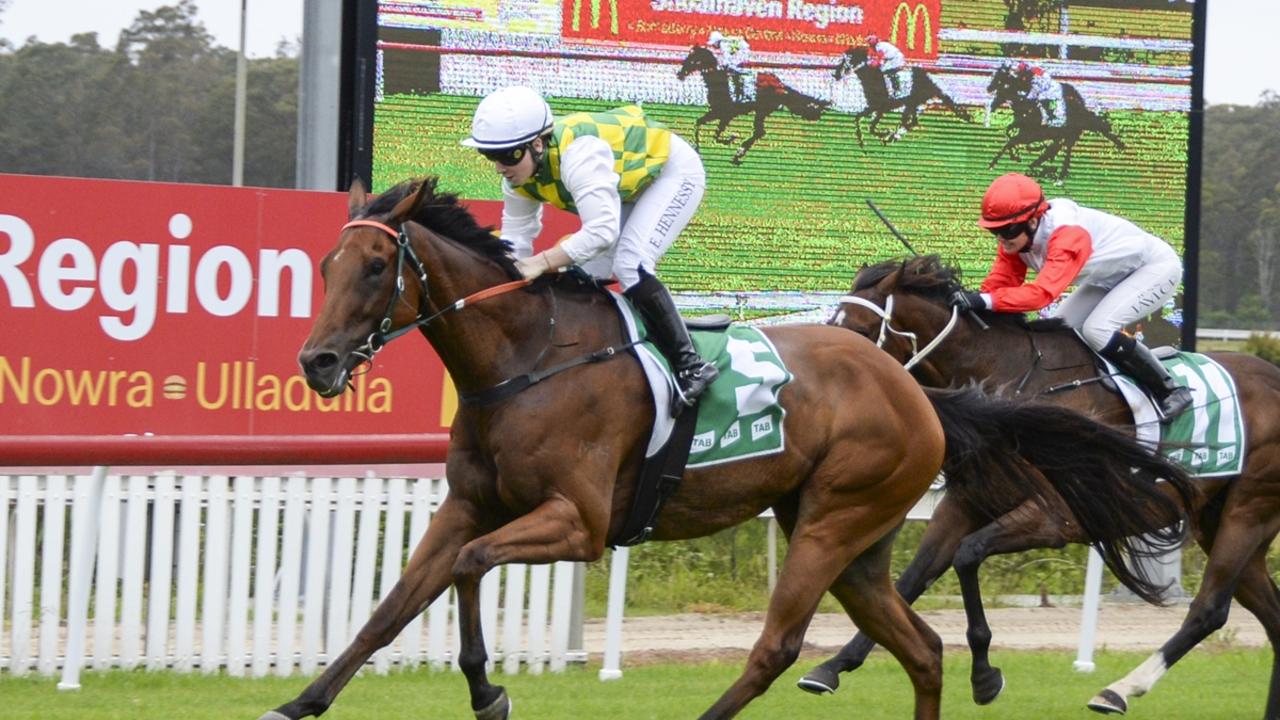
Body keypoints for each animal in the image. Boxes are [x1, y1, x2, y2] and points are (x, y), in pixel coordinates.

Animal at [272, 180, 1198, 717]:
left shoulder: (577, 522)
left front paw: (486, 686)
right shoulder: (469, 504)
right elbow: (391, 608)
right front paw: (300, 703)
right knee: (921, 649)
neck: (527, 358)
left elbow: (467, 571)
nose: (317, 363)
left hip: (832, 521)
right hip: (856, 540)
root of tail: (918, 393)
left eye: (372, 270)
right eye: (321, 265)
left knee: (779, 648)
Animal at [675, 45, 824, 166]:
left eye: (693, 59)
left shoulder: (727, 114)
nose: (680, 74)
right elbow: (699, 123)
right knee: (759, 132)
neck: (719, 80)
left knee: (759, 131)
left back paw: (739, 152)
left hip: (762, 110)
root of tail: (780, 85)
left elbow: (716, 135)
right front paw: (697, 148)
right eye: (687, 56)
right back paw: (738, 154)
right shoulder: (716, 112)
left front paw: (731, 138)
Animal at [808, 254, 1280, 712]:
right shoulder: (966, 503)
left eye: (860, 329)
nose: (834, 383)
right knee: (1270, 617)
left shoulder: (1056, 517)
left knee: (1210, 609)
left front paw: (984, 675)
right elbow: (912, 579)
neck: (1008, 382)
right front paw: (832, 668)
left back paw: (1117, 691)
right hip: (1217, 519)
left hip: (1247, 510)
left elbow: (967, 555)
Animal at [829, 46, 967, 146]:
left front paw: (884, 134)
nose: (835, 74)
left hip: (913, 102)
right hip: (912, 104)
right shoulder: (873, 108)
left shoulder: (880, 108)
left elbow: (870, 126)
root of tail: (929, 78)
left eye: (846, 61)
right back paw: (894, 136)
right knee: (911, 122)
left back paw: (893, 136)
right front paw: (864, 139)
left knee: (912, 122)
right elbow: (858, 119)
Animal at [983, 61, 1126, 181]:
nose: (988, 88)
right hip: (1064, 134)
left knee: (1063, 150)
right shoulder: (1024, 131)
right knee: (1058, 148)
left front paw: (1002, 161)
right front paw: (1008, 158)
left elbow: (1010, 141)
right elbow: (1008, 135)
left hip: (1067, 134)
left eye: (999, 78)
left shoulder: (1030, 135)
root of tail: (1080, 107)